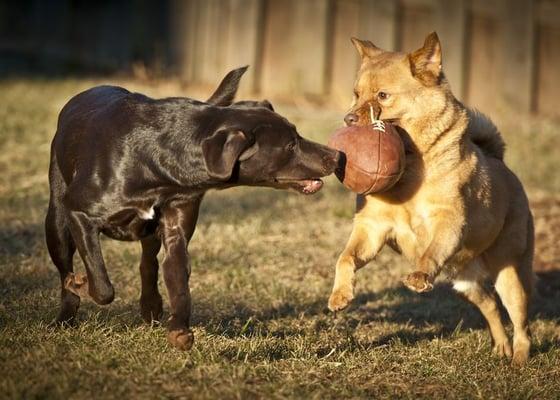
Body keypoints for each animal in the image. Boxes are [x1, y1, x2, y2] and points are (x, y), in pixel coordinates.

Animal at [46, 67, 340, 348]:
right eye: (290, 145)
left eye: (296, 134)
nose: (338, 155)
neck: (159, 159)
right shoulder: (79, 212)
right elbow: (101, 283)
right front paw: (79, 283)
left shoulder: (177, 227)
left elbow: (179, 283)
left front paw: (179, 331)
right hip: (57, 223)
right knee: (66, 268)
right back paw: (64, 317)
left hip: (149, 233)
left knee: (149, 263)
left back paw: (151, 306)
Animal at [328, 32, 532, 366]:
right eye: (356, 94)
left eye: (383, 96)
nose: (348, 118)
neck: (410, 169)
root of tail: (501, 162)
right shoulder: (371, 228)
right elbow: (345, 258)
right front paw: (340, 295)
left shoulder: (448, 221)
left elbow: (430, 252)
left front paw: (420, 276)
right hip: (465, 283)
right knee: (490, 305)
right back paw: (501, 347)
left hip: (509, 274)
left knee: (521, 323)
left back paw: (518, 361)